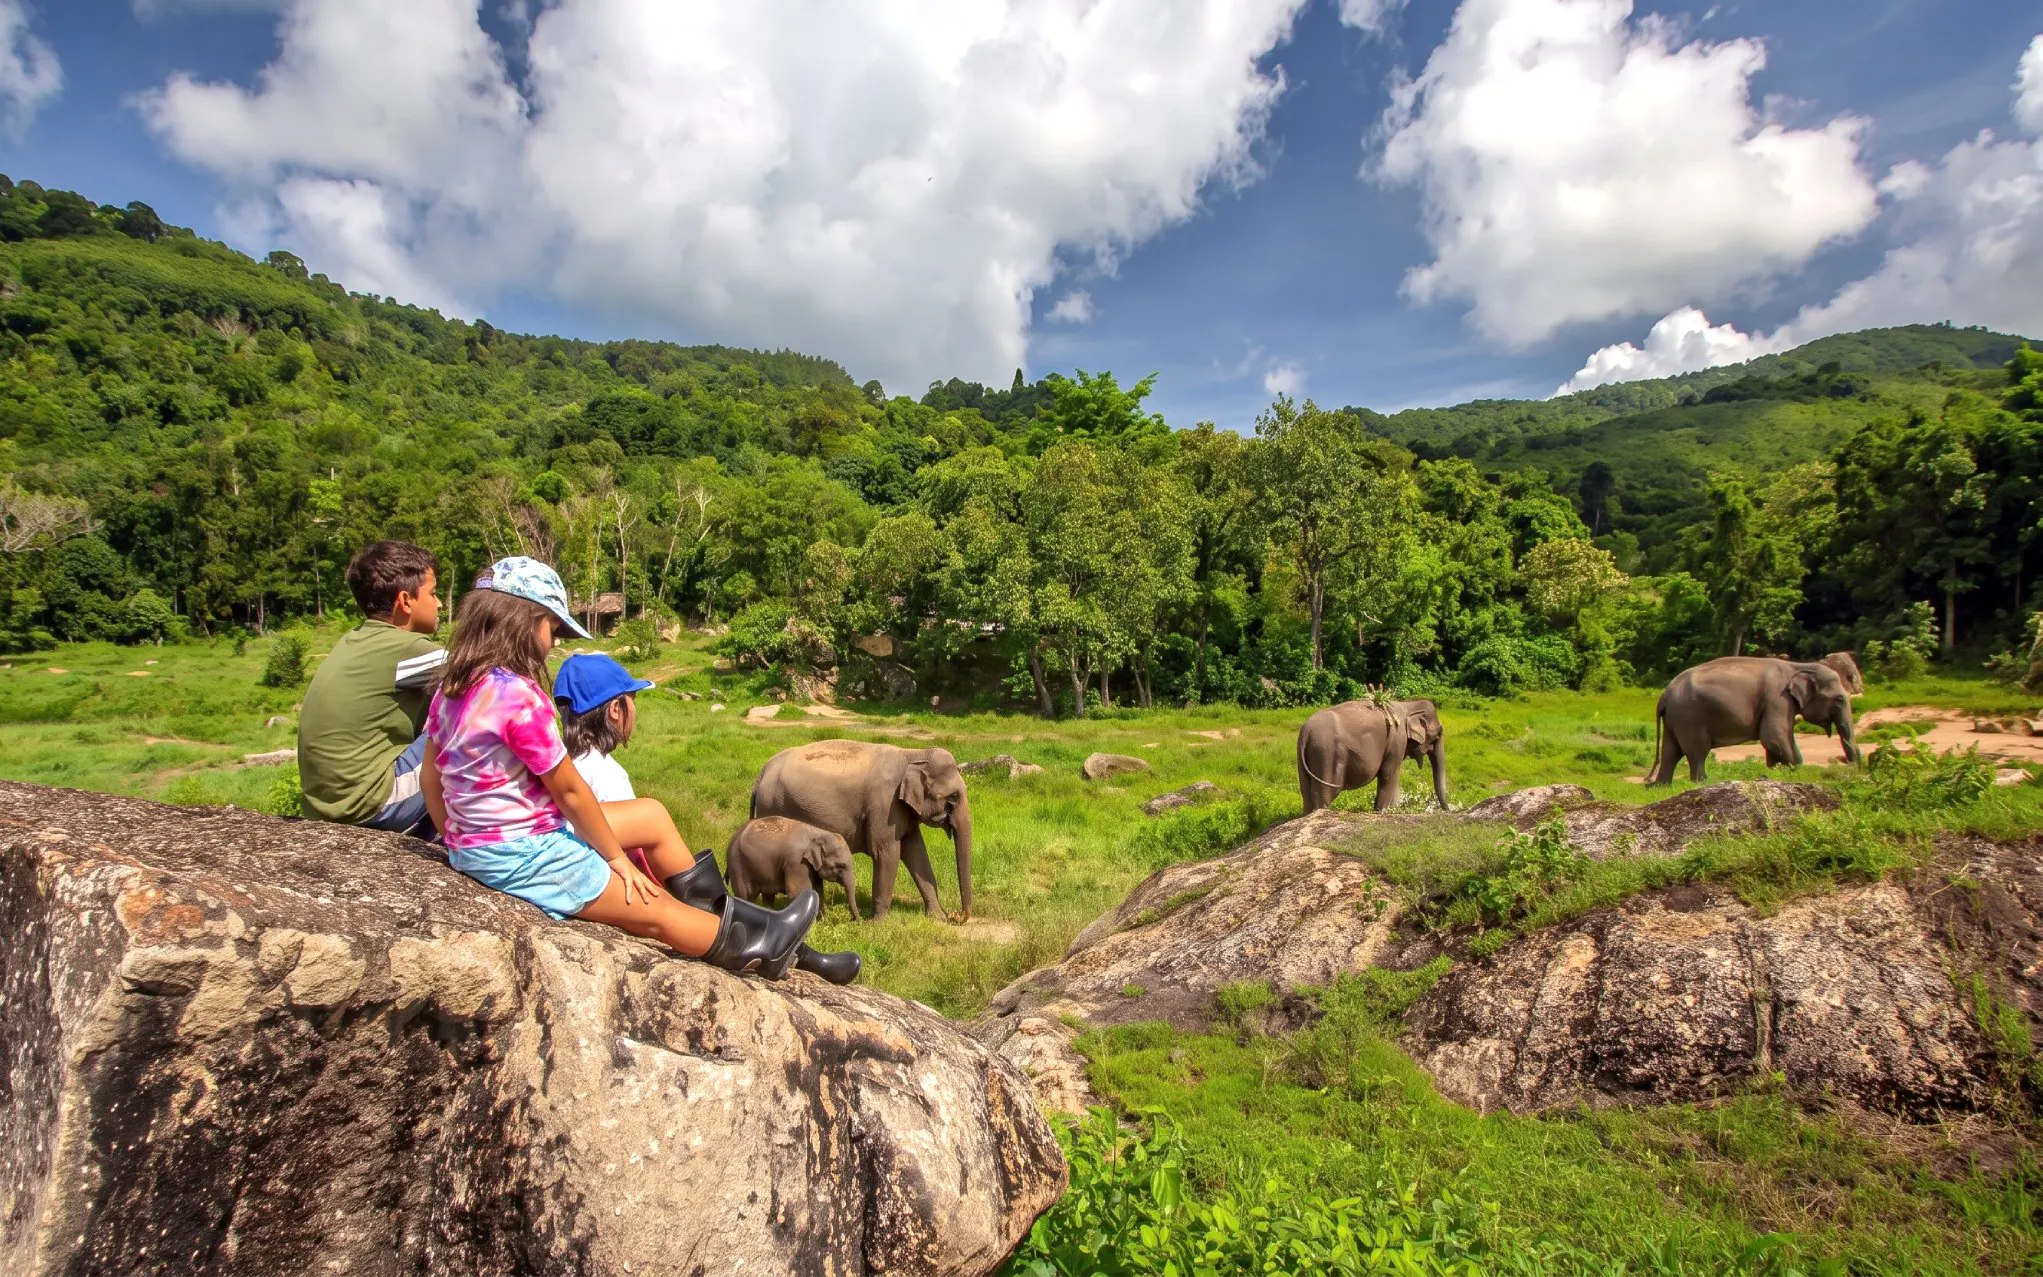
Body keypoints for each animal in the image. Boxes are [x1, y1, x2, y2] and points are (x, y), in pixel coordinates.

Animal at [728, 817, 862, 920]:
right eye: (842, 865)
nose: (856, 920)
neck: (818, 833)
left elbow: (817, 891)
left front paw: (821, 921)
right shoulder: (797, 862)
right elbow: (798, 892)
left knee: (768, 896)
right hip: (737, 864)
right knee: (745, 895)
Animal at [751, 740, 972, 922]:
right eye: (953, 797)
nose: (955, 915)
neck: (912, 754)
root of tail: (761, 775)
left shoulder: (904, 811)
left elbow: (916, 853)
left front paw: (937, 917)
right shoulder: (885, 805)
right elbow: (886, 853)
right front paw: (877, 923)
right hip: (773, 806)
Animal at [1297, 698, 1450, 816]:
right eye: (1438, 734)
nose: (1448, 810)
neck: (1408, 705)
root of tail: (1306, 732)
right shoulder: (1397, 741)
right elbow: (1388, 774)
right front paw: (1382, 812)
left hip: (1305, 756)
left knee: (1306, 792)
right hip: (1326, 754)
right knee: (1325, 794)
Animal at [1646, 656, 1860, 785]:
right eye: (1839, 699)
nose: (1849, 766)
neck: (1798, 666)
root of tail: (1664, 695)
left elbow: (1774, 741)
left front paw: (1775, 772)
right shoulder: (1777, 698)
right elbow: (1773, 736)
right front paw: (1796, 771)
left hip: (1675, 719)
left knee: (1671, 752)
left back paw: (1661, 786)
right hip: (1689, 717)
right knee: (1697, 751)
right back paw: (1703, 782)